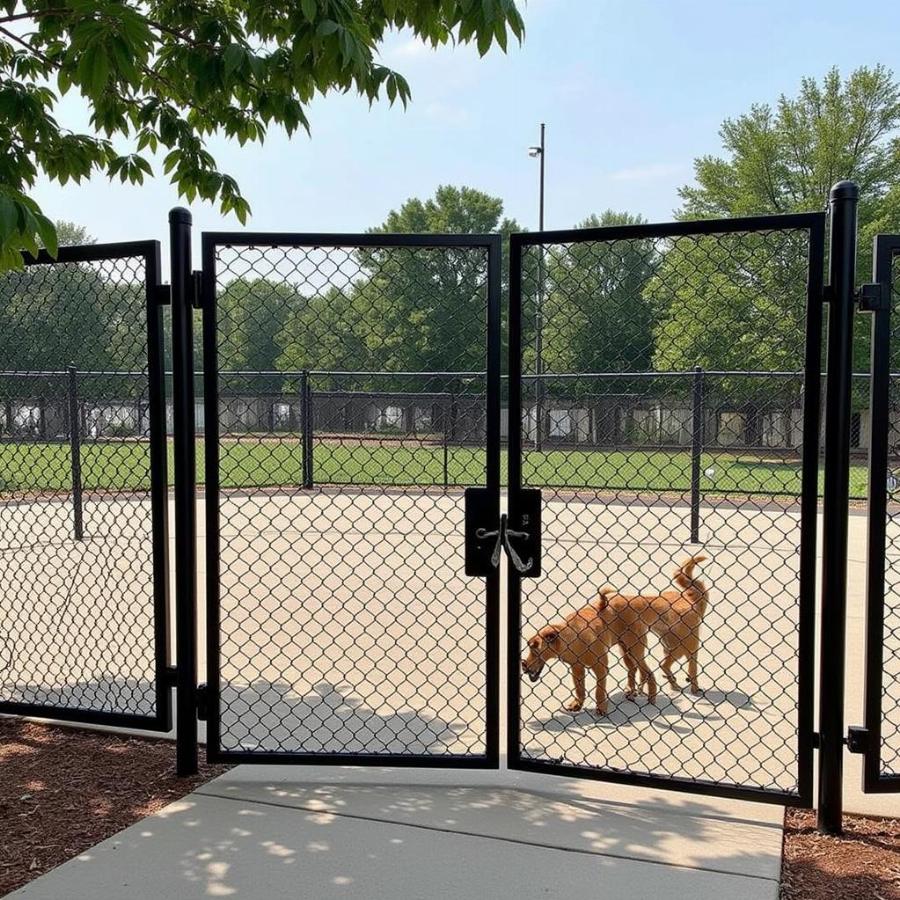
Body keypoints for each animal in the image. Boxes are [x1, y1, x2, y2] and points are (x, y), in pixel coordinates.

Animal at [520, 592, 660, 716]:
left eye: (535, 650)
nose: (524, 666)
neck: (573, 637)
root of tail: (635, 600)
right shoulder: (577, 669)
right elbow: (579, 689)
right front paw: (577, 704)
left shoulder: (601, 668)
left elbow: (599, 691)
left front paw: (601, 708)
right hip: (625, 650)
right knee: (633, 669)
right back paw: (631, 690)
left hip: (635, 650)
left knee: (649, 673)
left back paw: (652, 698)